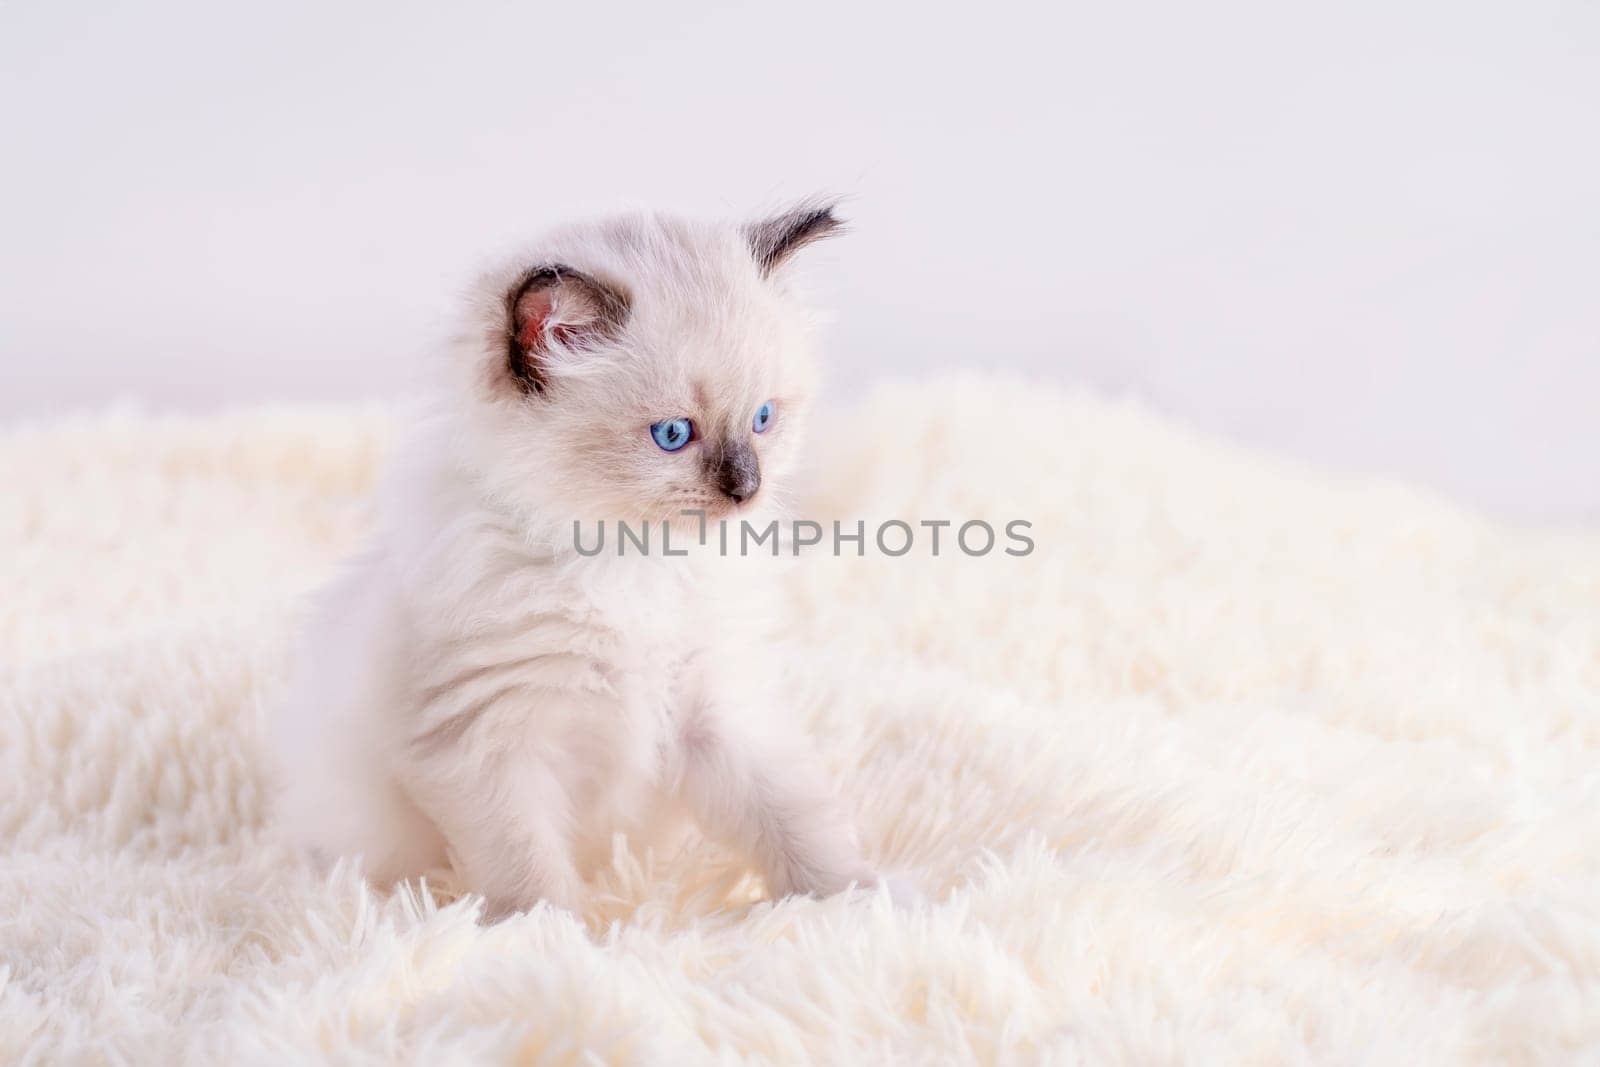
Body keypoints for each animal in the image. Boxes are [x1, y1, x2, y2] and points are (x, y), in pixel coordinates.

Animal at [272, 202, 889, 921]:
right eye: (673, 435)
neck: (633, 557)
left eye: (763, 419)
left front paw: (858, 900)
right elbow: (528, 873)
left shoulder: (711, 717)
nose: (747, 487)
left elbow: (792, 820)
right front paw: (548, 940)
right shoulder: (484, 743)